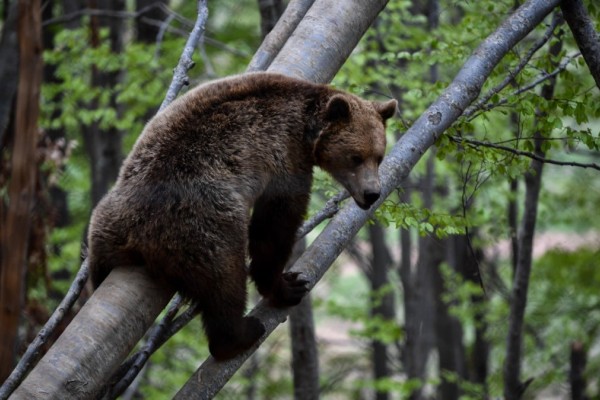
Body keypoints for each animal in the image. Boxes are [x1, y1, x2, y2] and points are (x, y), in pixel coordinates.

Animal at [88, 71, 398, 360]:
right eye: (355, 157)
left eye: (379, 156)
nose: (372, 193)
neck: (306, 129)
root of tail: (135, 233)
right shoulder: (284, 156)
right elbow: (275, 224)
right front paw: (287, 285)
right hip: (201, 221)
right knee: (225, 278)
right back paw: (240, 333)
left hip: (104, 227)